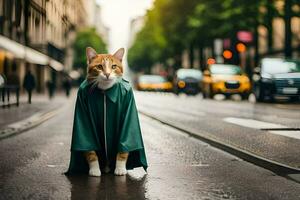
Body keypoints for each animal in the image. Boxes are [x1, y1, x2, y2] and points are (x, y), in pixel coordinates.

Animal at [84, 47, 128, 177]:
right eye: (99, 66)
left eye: (113, 66)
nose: (107, 74)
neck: (105, 92)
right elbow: (89, 147)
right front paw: (94, 169)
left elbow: (124, 143)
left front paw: (120, 168)